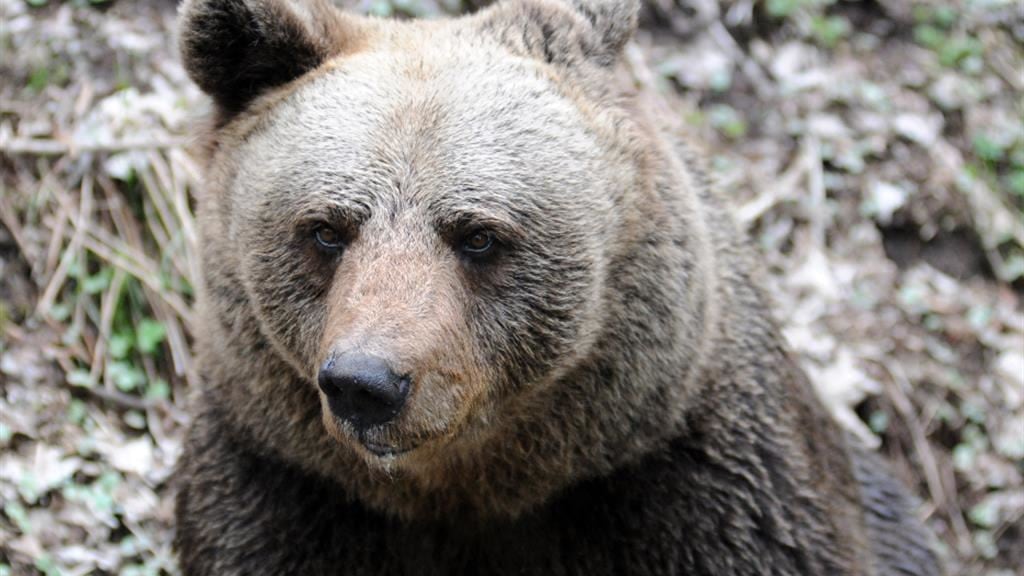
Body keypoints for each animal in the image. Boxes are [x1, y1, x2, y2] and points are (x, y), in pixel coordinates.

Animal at [174, 0, 942, 574]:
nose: (367, 383)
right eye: (327, 229)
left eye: (478, 234)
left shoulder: (699, 492)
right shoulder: (286, 488)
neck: (469, 490)